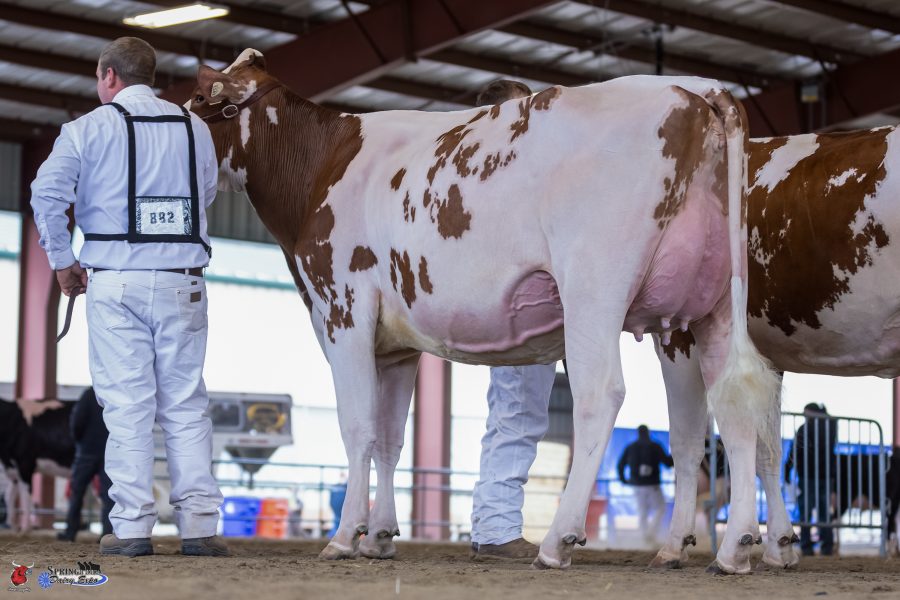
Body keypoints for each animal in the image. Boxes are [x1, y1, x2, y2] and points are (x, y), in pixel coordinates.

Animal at [0, 398, 74, 532]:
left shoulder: (25, 463)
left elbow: (26, 497)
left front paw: (25, 529)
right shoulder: (13, 469)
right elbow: (9, 496)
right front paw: (12, 526)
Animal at [187, 49, 779, 573]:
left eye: (199, 99)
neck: (321, 165)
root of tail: (697, 89)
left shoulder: (342, 310)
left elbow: (357, 427)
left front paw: (343, 536)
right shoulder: (395, 346)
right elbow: (390, 438)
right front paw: (378, 536)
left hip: (594, 287)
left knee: (601, 394)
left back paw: (558, 540)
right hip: (715, 305)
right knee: (729, 406)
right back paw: (732, 549)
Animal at [653, 126, 900, 570]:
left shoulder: (678, 337)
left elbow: (686, 440)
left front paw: (677, 544)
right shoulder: (763, 356)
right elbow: (765, 445)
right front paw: (779, 545)